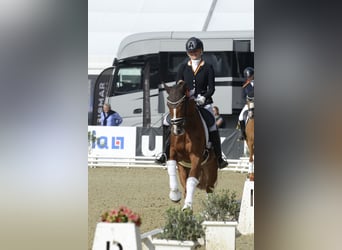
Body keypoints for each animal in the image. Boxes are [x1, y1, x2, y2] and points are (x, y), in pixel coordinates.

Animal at [164, 81, 218, 210]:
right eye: (168, 103)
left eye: (182, 103)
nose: (177, 129)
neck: (186, 130)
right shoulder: (172, 153)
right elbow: (171, 168)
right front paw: (174, 195)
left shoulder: (196, 157)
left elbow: (192, 180)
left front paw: (187, 207)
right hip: (183, 168)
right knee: (185, 186)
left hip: (212, 169)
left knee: (209, 190)